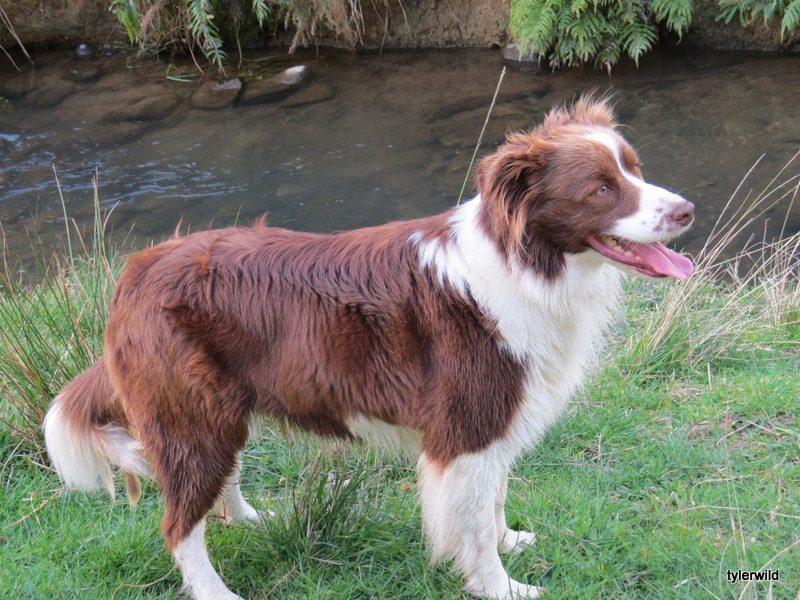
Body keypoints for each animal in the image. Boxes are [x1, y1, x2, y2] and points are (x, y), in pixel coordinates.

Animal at [43, 97, 694, 600]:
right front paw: (503, 586)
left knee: (216, 489)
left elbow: (495, 498)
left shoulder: (495, 422)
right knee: (179, 524)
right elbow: (475, 525)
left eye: (636, 170)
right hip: (190, 415)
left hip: (219, 411)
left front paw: (512, 541)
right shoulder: (466, 427)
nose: (687, 210)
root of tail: (134, 273)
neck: (527, 262)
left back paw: (255, 521)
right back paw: (216, 590)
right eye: (601, 189)